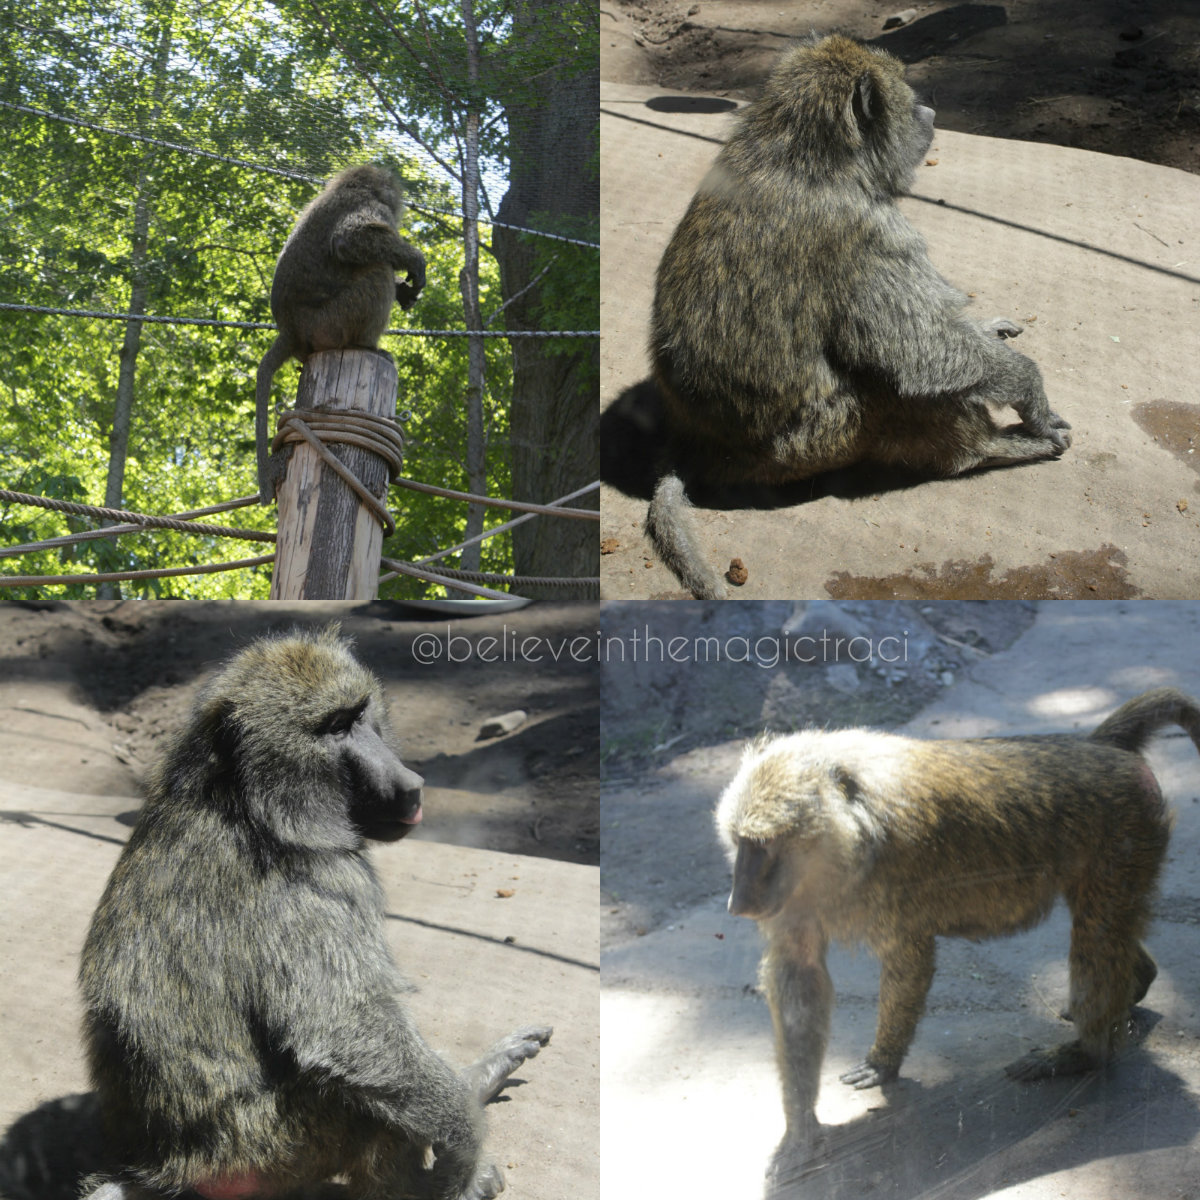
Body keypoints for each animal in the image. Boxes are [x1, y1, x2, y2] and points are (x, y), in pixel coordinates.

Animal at [78, 627, 551, 1200]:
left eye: (360, 713)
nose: (410, 784)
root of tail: (168, 1165)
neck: (243, 802)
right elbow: (345, 1029)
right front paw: (465, 1149)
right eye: (333, 727)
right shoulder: (321, 879)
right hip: (278, 1147)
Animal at [256, 165, 426, 503]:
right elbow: (350, 239)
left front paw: (406, 288)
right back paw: (367, 346)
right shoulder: (372, 207)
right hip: (331, 322)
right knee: (377, 268)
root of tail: (290, 328)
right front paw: (416, 263)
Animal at [646, 35, 1071, 598]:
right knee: (895, 384)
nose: (931, 113)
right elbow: (920, 358)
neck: (801, 153)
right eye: (908, 100)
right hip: (821, 441)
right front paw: (1032, 396)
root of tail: (705, 443)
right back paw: (993, 448)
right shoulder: (866, 234)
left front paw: (984, 329)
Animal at [715, 688, 1200, 1177]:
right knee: (1106, 931)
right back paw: (1137, 983)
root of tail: (1101, 748)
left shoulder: (895, 865)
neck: (847, 816)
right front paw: (799, 1124)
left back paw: (1087, 1053)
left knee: (1097, 937)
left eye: (761, 846)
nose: (737, 904)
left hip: (1127, 832)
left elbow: (909, 958)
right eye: (739, 843)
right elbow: (800, 975)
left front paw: (882, 1061)